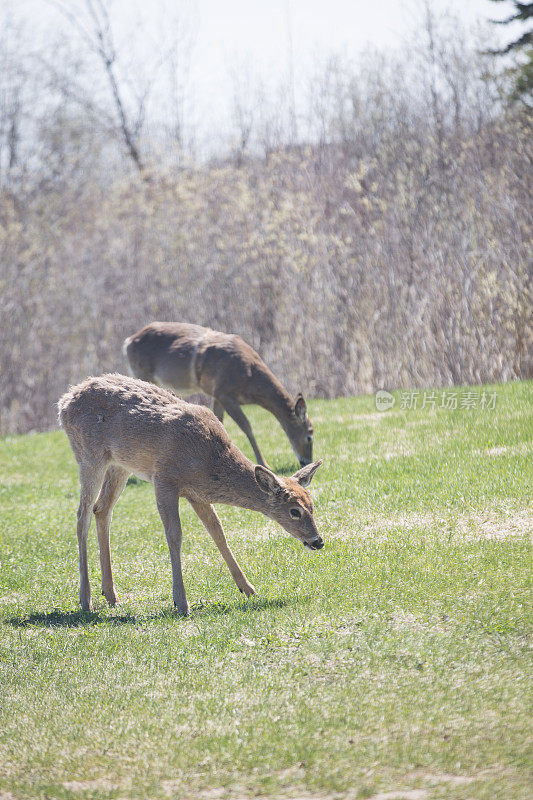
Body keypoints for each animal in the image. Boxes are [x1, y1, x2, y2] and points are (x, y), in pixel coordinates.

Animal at [59, 372, 324, 616]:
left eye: (312, 506)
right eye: (295, 511)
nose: (318, 541)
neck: (211, 461)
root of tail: (64, 402)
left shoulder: (197, 494)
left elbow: (218, 532)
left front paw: (248, 588)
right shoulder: (164, 479)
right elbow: (174, 535)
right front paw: (181, 602)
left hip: (121, 464)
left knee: (101, 509)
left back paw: (111, 595)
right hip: (89, 456)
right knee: (82, 515)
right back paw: (86, 600)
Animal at [122, 320, 314, 468]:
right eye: (309, 436)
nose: (306, 461)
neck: (250, 379)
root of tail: (128, 342)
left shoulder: (216, 394)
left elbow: (219, 420)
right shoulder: (224, 393)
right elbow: (247, 426)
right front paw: (264, 464)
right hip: (142, 373)